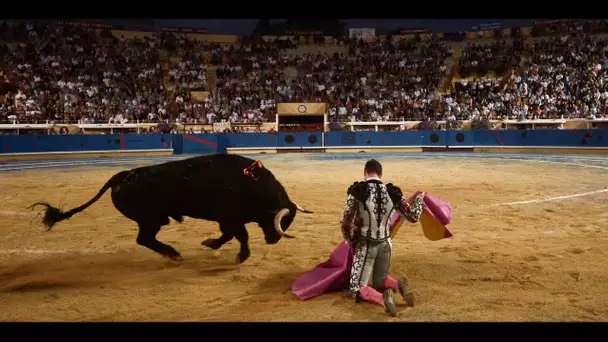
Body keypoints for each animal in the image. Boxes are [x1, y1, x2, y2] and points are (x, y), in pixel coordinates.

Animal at [30, 155, 312, 264]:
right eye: (277, 219)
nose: (273, 240)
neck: (252, 183)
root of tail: (122, 175)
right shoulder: (229, 216)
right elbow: (239, 235)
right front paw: (240, 256)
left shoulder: (228, 219)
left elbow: (228, 235)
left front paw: (211, 244)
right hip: (152, 218)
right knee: (144, 238)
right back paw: (173, 253)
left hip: (153, 219)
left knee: (145, 239)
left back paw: (172, 253)